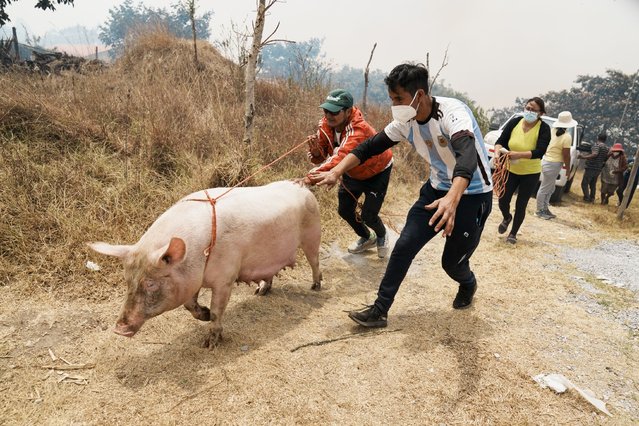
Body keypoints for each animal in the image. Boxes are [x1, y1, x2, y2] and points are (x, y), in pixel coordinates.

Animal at [87, 180, 322, 346]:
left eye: (151, 283)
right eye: (127, 280)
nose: (119, 329)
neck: (199, 251)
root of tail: (304, 187)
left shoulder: (226, 278)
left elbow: (219, 309)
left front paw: (209, 342)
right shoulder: (192, 279)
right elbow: (189, 304)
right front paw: (205, 314)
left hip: (312, 233)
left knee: (315, 261)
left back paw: (316, 287)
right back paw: (261, 292)